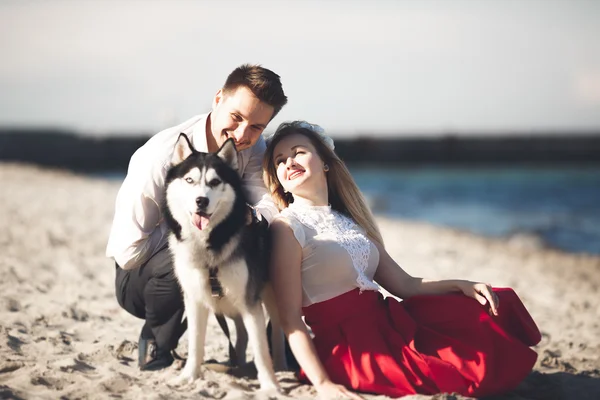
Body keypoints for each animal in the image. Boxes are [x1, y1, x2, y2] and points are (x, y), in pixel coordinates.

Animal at [163, 134, 284, 390]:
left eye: (215, 181)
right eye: (189, 180)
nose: (201, 201)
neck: (209, 243)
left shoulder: (250, 300)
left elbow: (261, 349)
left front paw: (270, 386)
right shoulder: (195, 299)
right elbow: (195, 344)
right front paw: (188, 376)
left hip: (268, 295)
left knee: (278, 330)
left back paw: (278, 365)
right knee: (241, 331)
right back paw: (237, 365)